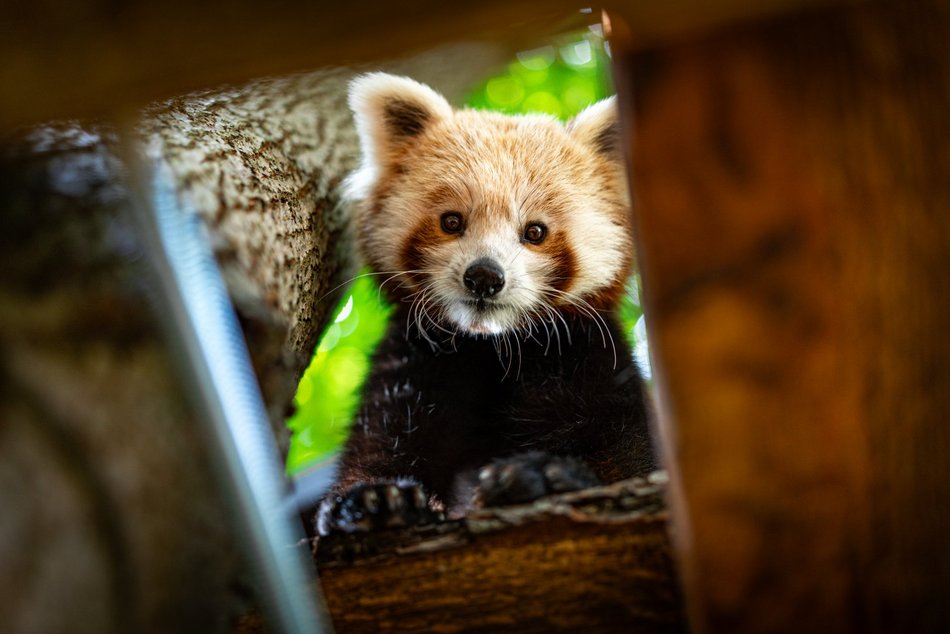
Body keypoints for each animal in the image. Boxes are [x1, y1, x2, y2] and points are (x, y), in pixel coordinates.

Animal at [320, 73, 656, 532]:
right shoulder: (413, 367)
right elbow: (382, 442)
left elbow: (626, 452)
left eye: (535, 232)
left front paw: (546, 475)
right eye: (451, 222)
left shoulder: (590, 359)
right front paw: (374, 498)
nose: (484, 276)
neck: (494, 349)